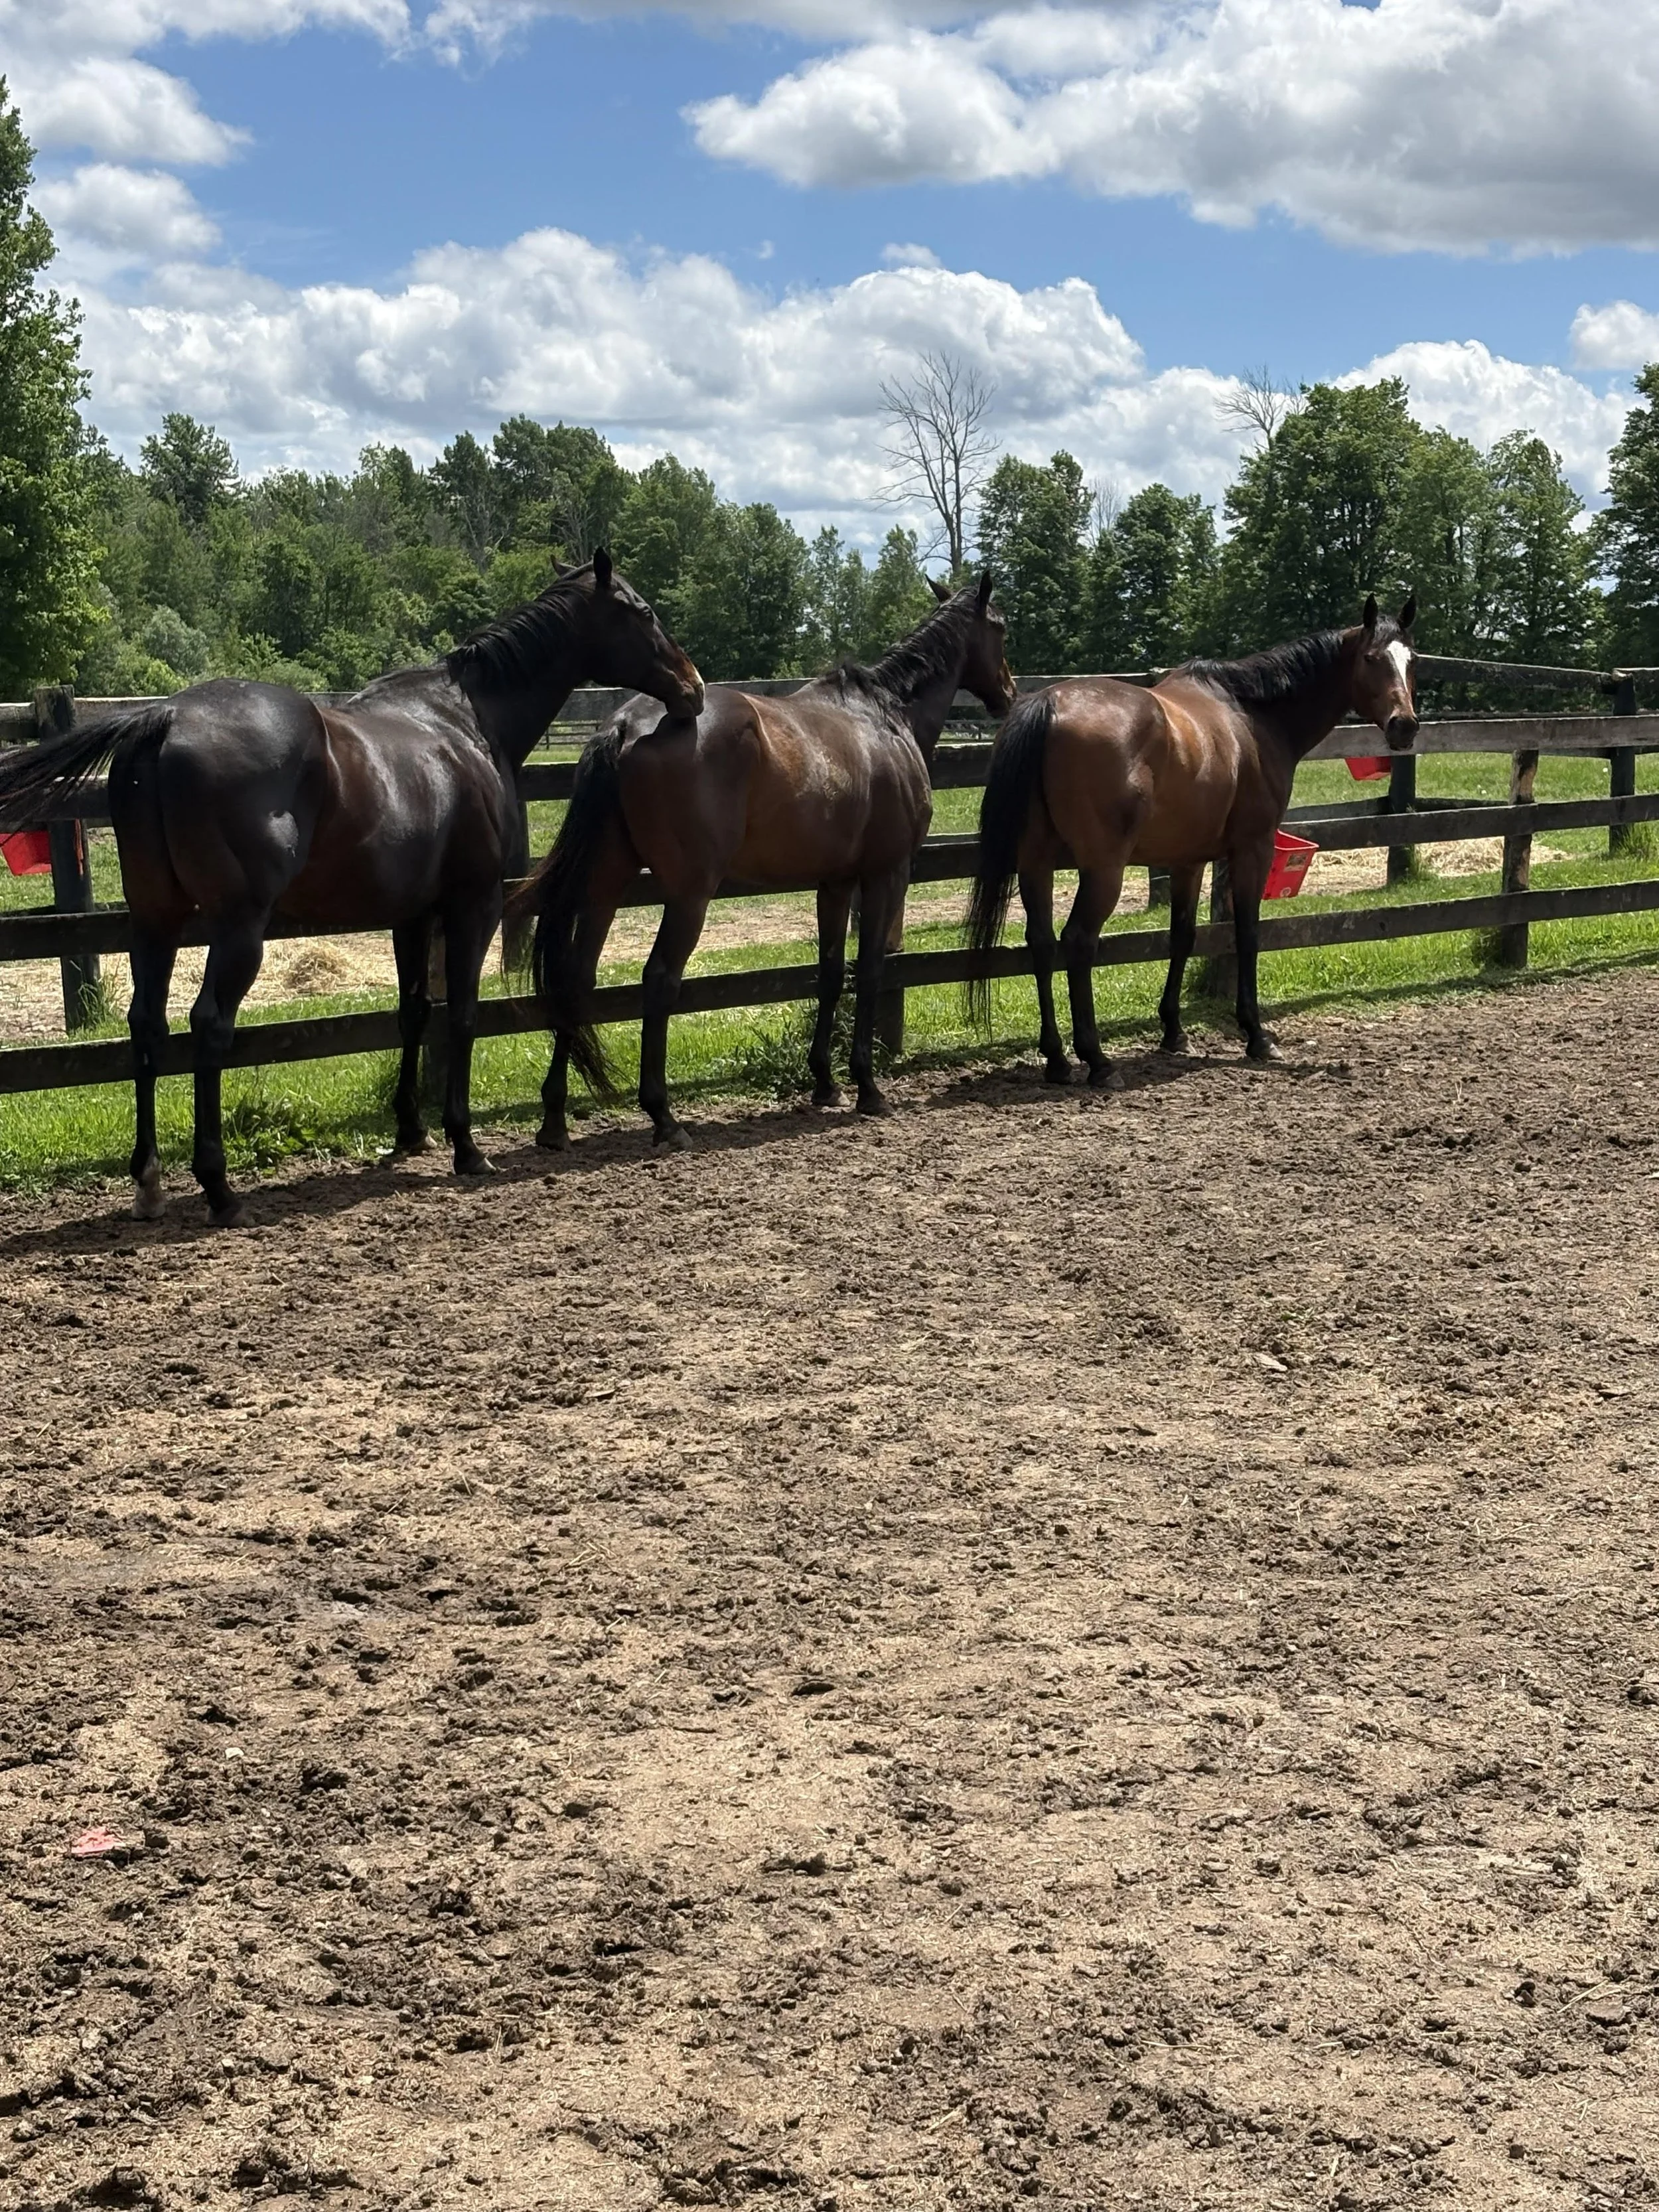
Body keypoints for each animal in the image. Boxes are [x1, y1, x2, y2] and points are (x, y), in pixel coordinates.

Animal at [0, 553, 703, 1224]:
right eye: (641, 611)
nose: (693, 688)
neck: (465, 722)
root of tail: (166, 717)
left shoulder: (412, 915)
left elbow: (413, 1013)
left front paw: (411, 1131)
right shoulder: (473, 904)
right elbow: (463, 1014)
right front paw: (465, 1145)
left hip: (156, 919)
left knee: (146, 1026)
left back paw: (149, 1184)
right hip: (237, 928)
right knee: (209, 1026)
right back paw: (220, 1190)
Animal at [522, 571, 1015, 1148]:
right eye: (1000, 627)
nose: (1008, 694)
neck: (886, 717)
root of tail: (625, 725)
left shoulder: (835, 882)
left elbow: (830, 972)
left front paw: (825, 1081)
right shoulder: (886, 875)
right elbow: (869, 970)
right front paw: (868, 1086)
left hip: (607, 883)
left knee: (576, 979)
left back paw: (555, 1121)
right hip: (689, 895)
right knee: (660, 980)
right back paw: (664, 1117)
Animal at [964, 595, 1418, 1078]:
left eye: (1412, 661)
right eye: (1371, 659)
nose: (1404, 725)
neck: (1252, 715)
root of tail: (1049, 704)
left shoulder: (1189, 859)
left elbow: (1182, 936)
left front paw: (1173, 1031)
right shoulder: (1252, 848)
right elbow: (1246, 932)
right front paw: (1256, 1034)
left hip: (1036, 861)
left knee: (1042, 942)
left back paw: (1056, 1057)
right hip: (1103, 869)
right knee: (1078, 941)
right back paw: (1096, 1058)